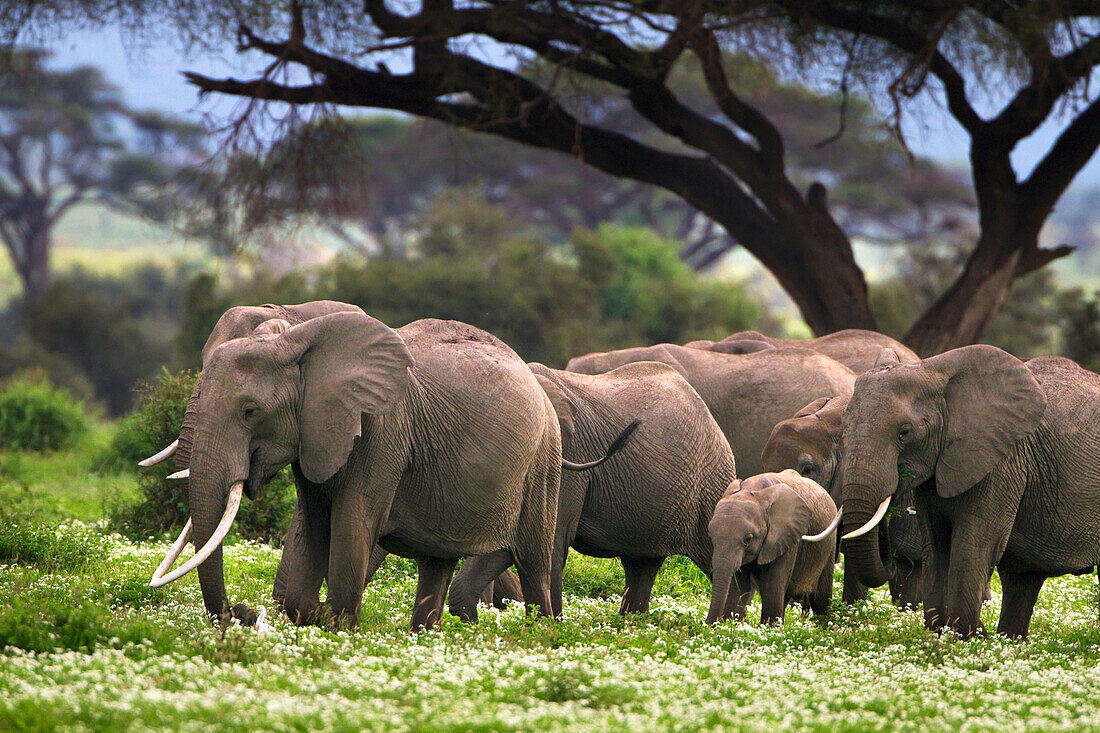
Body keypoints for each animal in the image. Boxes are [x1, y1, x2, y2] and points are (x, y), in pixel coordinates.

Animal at [148, 308, 567, 629]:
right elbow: (315, 526)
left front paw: (338, 626)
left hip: (544, 462)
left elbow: (352, 526)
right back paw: (424, 637)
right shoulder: (315, 436)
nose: (244, 611)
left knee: (534, 559)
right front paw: (316, 615)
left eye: (250, 411)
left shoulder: (381, 432)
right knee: (438, 560)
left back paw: (541, 634)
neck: (298, 342)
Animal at [704, 468, 840, 620]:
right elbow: (740, 588)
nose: (709, 623)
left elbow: (772, 588)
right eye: (711, 536)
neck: (754, 490)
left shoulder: (787, 537)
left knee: (821, 599)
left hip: (829, 545)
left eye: (748, 539)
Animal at [831, 345, 1100, 638]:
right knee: (1021, 579)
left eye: (904, 432)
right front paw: (940, 634)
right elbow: (936, 545)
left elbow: (973, 546)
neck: (933, 369)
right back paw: (1008, 640)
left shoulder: (1001, 461)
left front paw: (963, 637)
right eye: (843, 429)